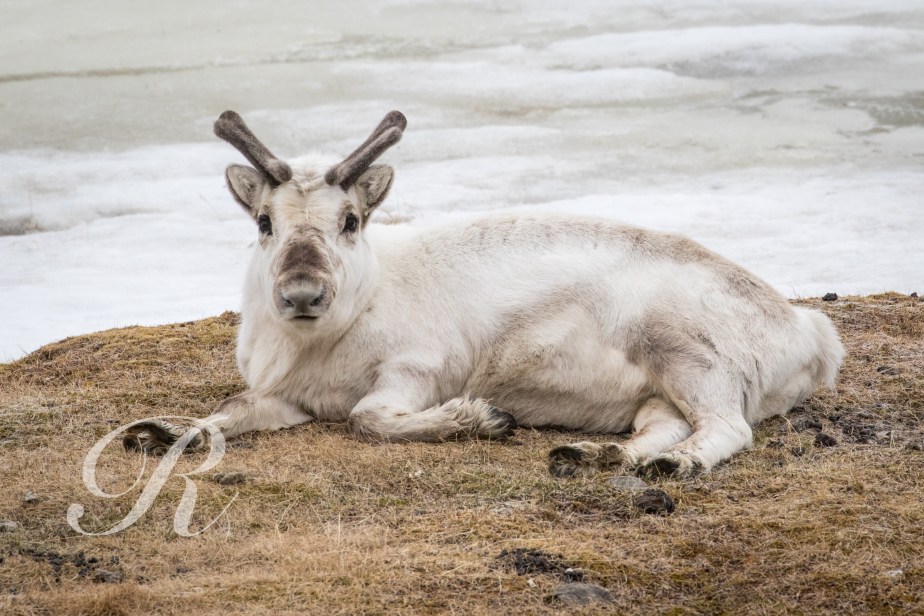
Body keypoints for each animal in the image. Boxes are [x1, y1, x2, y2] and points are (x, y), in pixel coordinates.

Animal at [125, 110, 845, 479]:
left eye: (351, 220)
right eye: (263, 222)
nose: (303, 294)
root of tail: (809, 332)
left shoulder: (415, 369)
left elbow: (368, 417)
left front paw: (483, 416)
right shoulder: (286, 397)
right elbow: (226, 413)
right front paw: (155, 430)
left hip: (688, 355)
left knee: (726, 428)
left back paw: (675, 467)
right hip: (659, 388)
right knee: (662, 424)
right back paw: (594, 453)